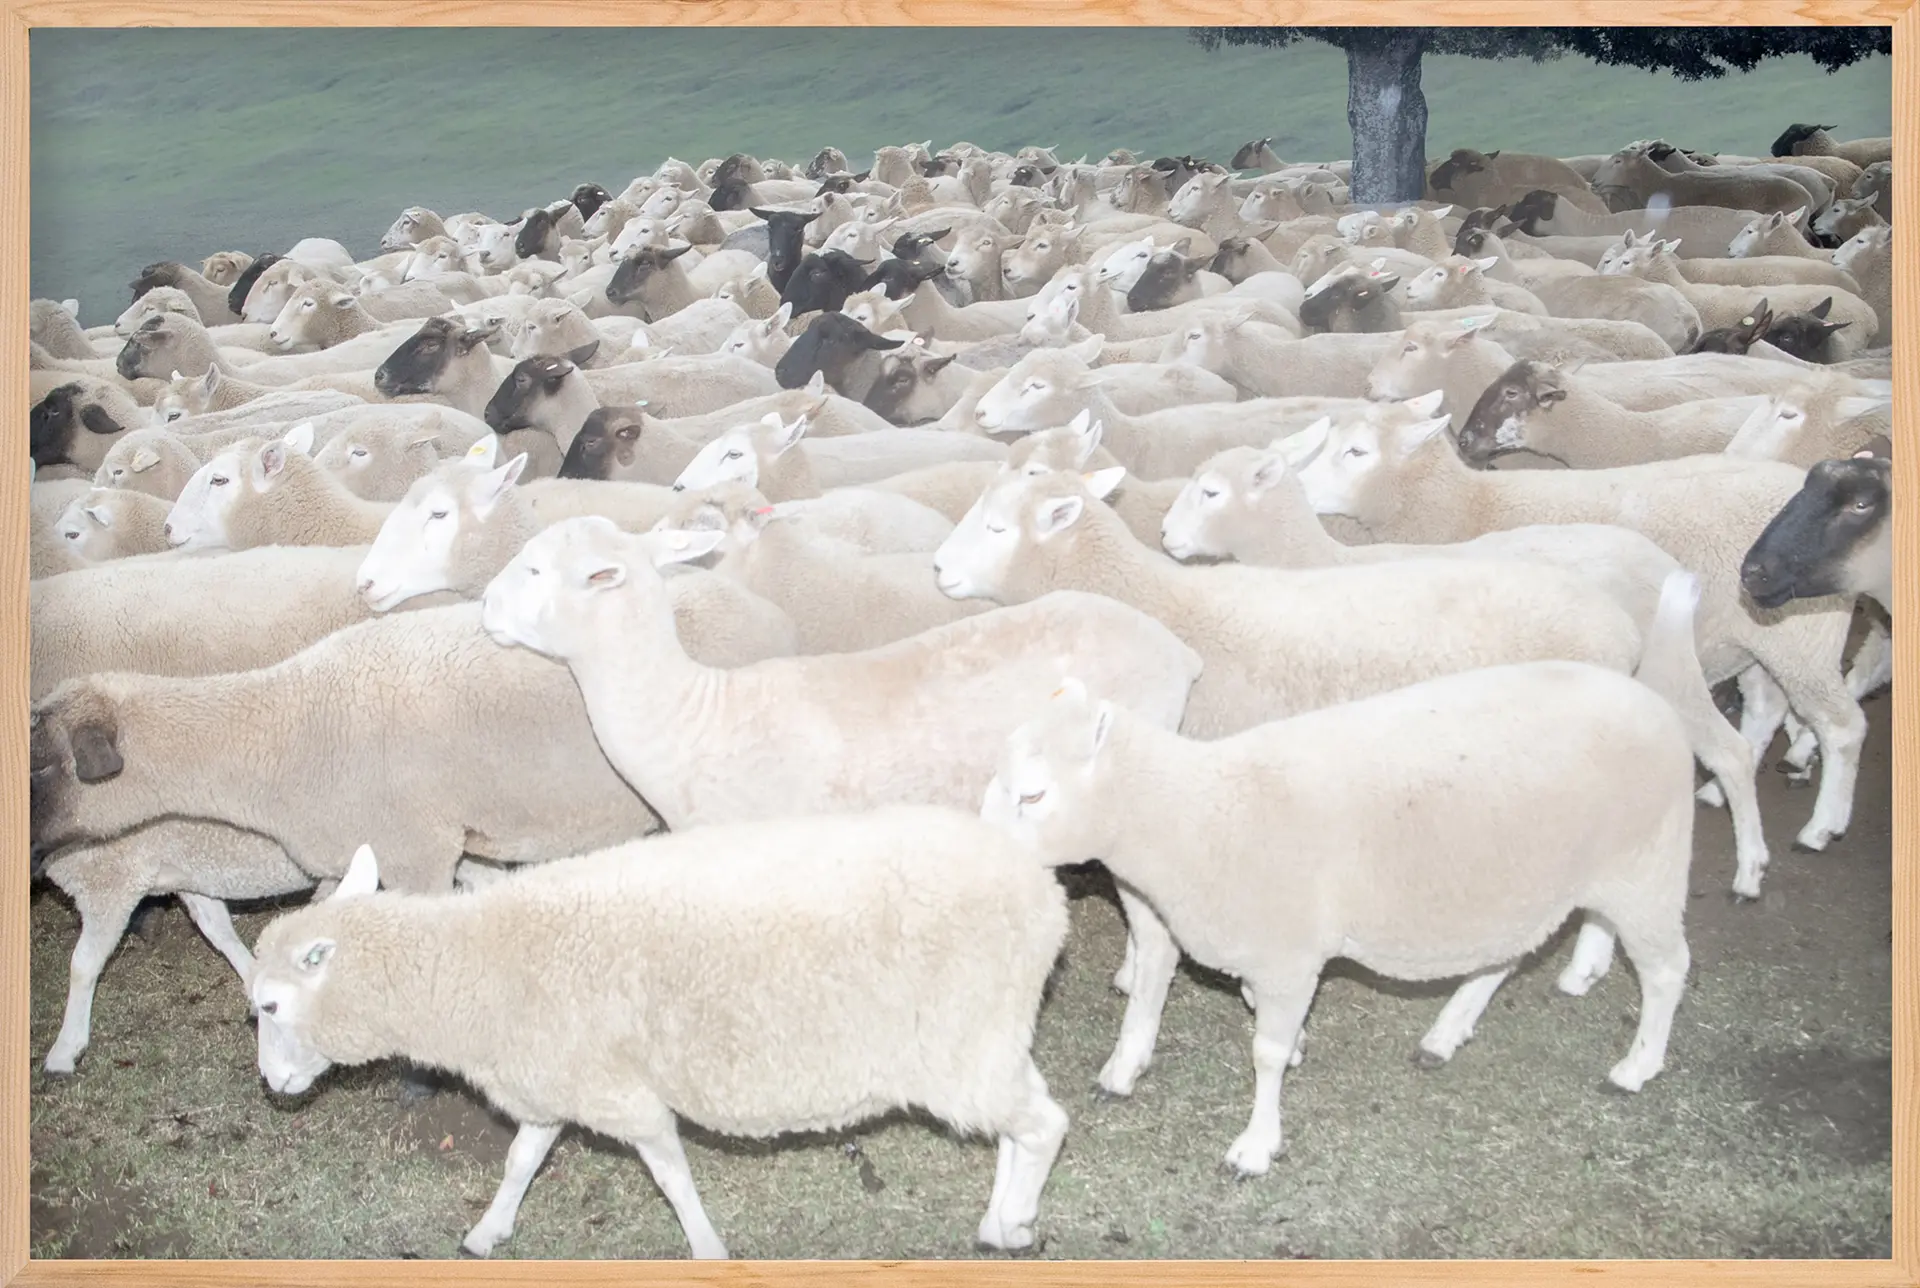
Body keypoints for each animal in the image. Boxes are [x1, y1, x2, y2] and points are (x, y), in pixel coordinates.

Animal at [249, 814, 1071, 1259]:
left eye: (269, 1007)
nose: (273, 1085)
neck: (480, 962)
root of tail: (1044, 890)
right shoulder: (558, 1079)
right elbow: (520, 1161)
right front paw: (488, 1231)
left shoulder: (620, 1094)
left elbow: (671, 1176)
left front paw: (706, 1248)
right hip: (989, 1033)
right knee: (1023, 1122)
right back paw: (1001, 1220)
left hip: (960, 1042)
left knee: (1044, 1125)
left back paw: (1013, 1223)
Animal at [979, 647, 1696, 1177]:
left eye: (1033, 795)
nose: (978, 853)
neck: (1197, 811)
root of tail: (1654, 702)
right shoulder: (1227, 939)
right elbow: (1180, 1002)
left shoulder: (1288, 953)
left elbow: (1264, 1052)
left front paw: (1256, 1143)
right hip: (1529, 879)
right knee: (1508, 954)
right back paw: (1450, 1032)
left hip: (1646, 868)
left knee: (1666, 969)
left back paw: (1635, 1067)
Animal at [1290, 397, 1860, 869]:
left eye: (1357, 451)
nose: (1295, 484)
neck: (1466, 506)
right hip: (1764, 635)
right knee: (1765, 708)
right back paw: (1724, 794)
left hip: (1805, 638)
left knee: (1842, 728)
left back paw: (1820, 826)